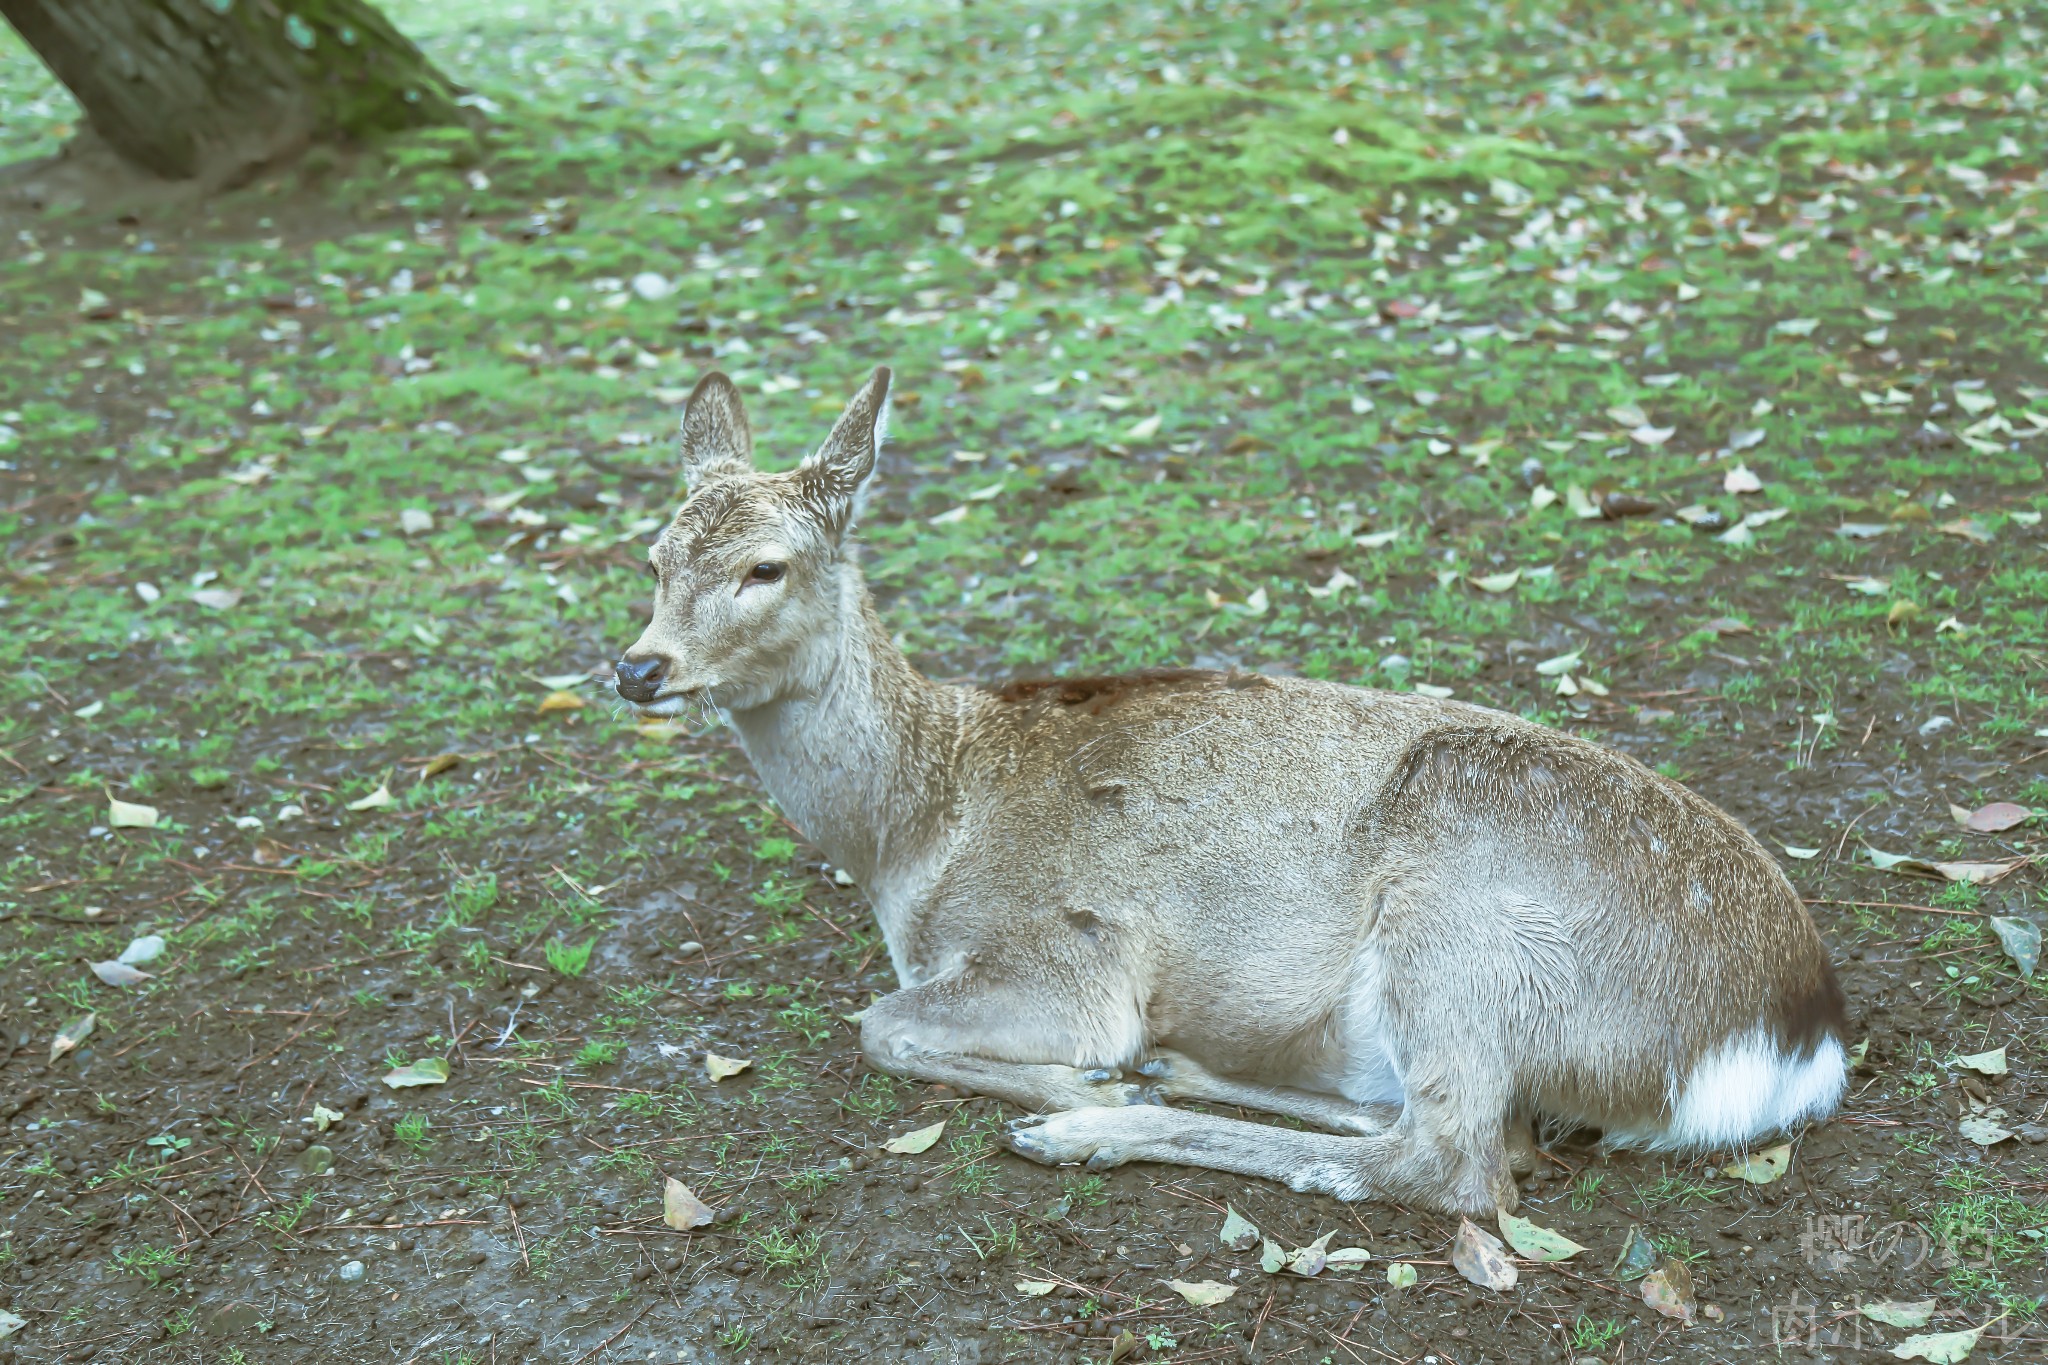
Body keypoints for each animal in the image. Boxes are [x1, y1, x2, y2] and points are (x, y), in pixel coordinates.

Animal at [614, 366, 1851, 1219]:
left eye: (765, 566)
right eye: (652, 558)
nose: (636, 667)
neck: (916, 832)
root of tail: (1793, 1042)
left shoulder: (1066, 957)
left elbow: (878, 1025)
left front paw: (1082, 1090)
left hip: (1464, 924)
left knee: (1455, 1162)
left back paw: (1097, 1125)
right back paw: (1175, 1071)